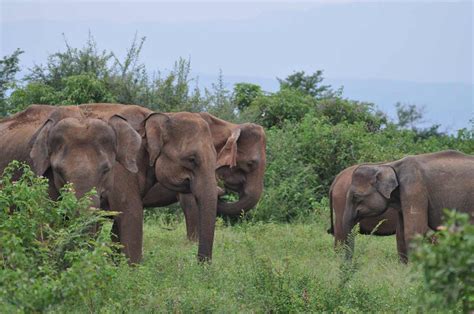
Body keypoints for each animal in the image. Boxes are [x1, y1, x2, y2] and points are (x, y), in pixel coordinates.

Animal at [340, 150, 474, 262]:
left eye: (355, 197)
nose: (348, 265)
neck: (389, 166)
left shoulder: (414, 189)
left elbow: (413, 231)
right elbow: (400, 233)